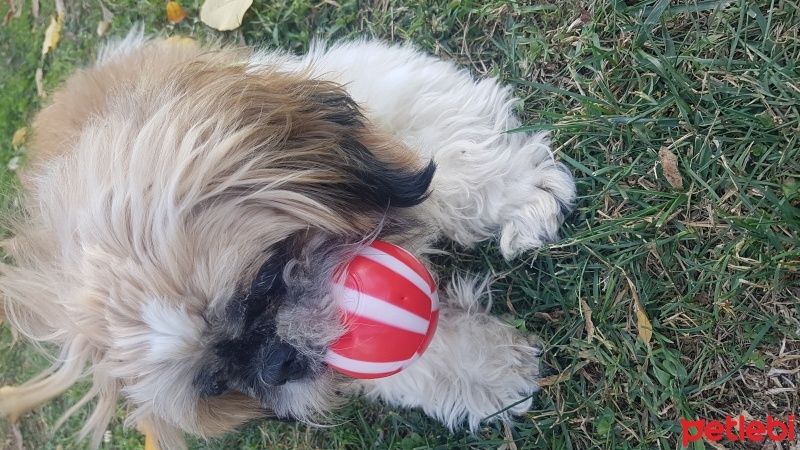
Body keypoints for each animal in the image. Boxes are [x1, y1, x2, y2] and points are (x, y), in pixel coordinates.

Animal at [0, 29, 576, 448]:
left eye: (263, 280)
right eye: (217, 383)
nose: (275, 362)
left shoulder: (371, 89)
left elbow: (449, 149)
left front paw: (517, 192)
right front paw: (484, 373)